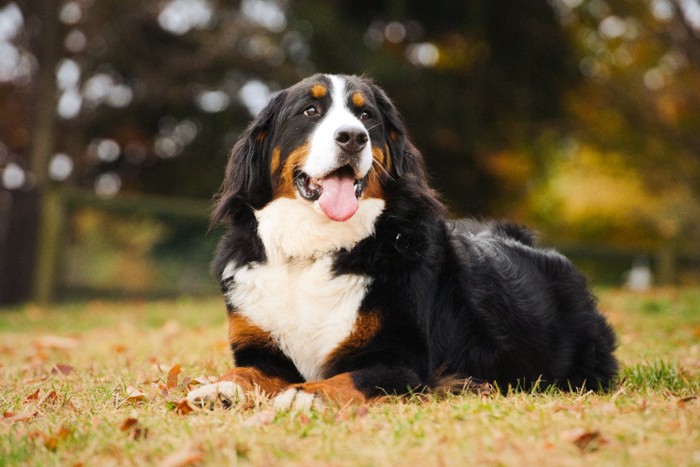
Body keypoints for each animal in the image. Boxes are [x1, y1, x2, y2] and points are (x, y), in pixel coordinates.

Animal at [187, 74, 616, 414]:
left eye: (366, 117)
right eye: (310, 111)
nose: (352, 137)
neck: (312, 252)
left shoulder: (401, 361)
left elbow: (345, 379)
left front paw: (304, 395)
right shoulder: (263, 350)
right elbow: (245, 371)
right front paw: (218, 388)